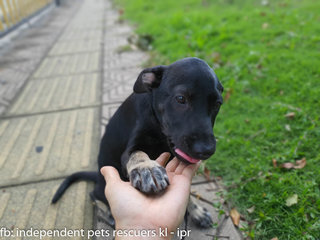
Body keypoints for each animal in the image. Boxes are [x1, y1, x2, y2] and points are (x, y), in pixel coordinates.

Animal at [52, 57, 222, 228]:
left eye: (217, 104)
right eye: (181, 99)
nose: (206, 150)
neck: (159, 129)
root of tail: (98, 177)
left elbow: (187, 193)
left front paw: (196, 210)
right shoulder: (132, 147)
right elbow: (137, 154)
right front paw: (147, 168)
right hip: (103, 187)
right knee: (95, 195)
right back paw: (108, 213)